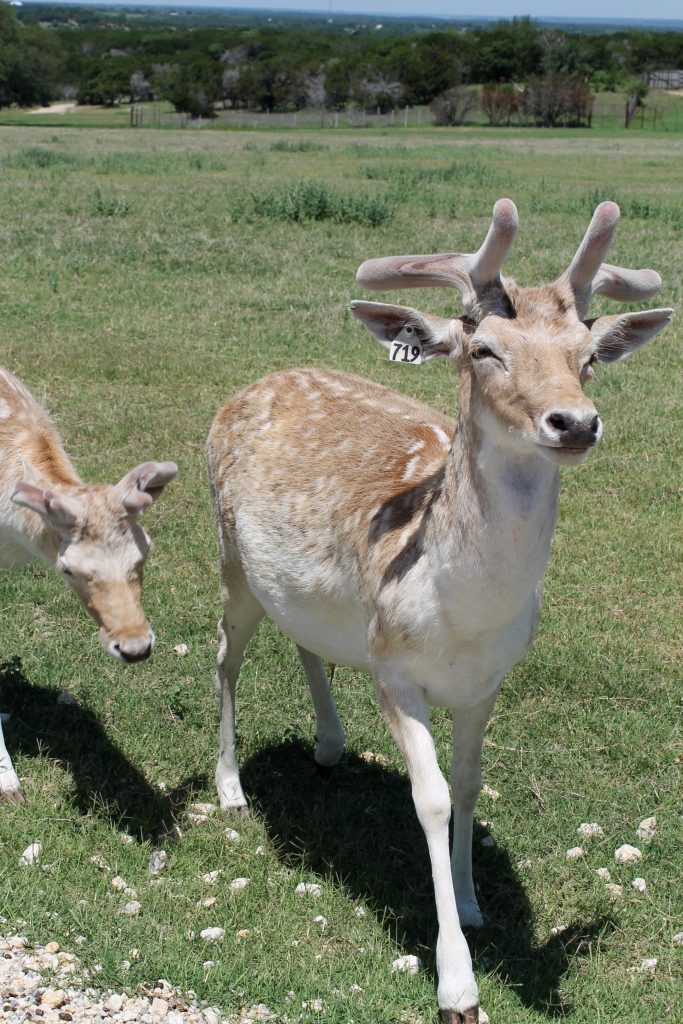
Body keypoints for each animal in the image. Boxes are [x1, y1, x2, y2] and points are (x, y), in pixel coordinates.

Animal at [206, 195, 671, 1019]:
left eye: (587, 355)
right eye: (484, 348)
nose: (575, 422)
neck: (465, 615)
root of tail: (246, 389)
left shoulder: (488, 681)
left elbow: (469, 786)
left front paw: (475, 902)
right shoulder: (393, 668)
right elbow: (427, 800)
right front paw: (458, 982)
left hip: (298, 589)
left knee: (305, 639)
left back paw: (328, 745)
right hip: (229, 556)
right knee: (225, 655)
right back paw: (230, 788)